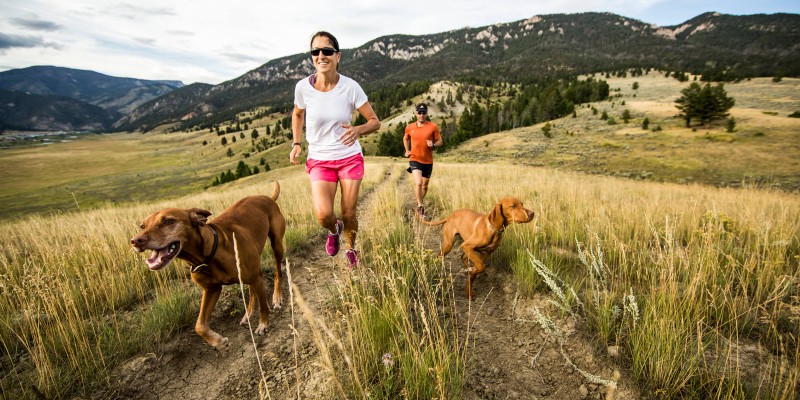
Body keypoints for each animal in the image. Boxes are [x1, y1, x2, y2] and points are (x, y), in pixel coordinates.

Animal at [129, 181, 284, 350]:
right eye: (142, 226)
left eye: (168, 221)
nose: (135, 241)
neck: (207, 255)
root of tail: (267, 198)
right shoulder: (211, 290)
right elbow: (199, 326)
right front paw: (218, 341)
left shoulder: (256, 278)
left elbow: (264, 306)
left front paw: (263, 324)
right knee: (251, 290)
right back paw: (248, 313)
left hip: (276, 246)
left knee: (278, 273)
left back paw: (277, 297)